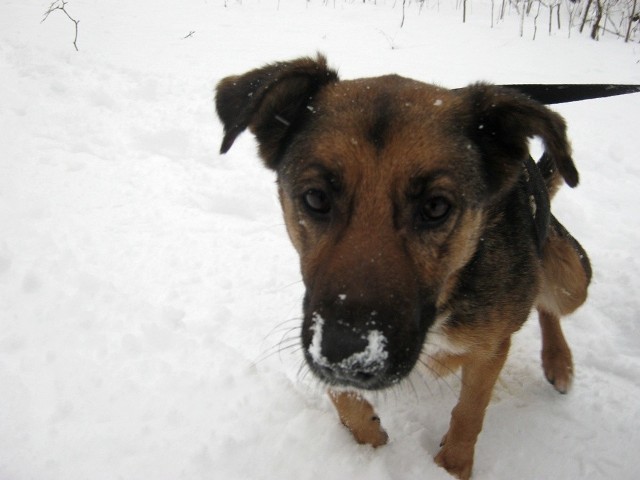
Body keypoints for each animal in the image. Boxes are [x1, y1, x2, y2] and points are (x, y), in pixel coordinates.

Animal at [214, 55, 592, 480]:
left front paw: (452, 466)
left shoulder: (491, 349)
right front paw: (370, 441)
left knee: (548, 303)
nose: (347, 357)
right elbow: (339, 394)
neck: (443, 305)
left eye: (436, 206)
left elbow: (469, 412)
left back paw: (558, 360)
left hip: (572, 277)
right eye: (315, 198)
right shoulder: (315, 326)